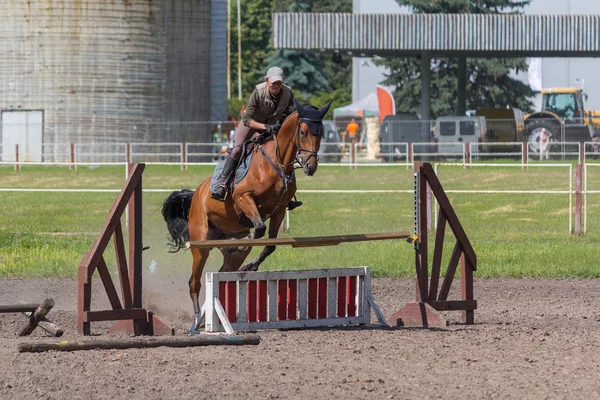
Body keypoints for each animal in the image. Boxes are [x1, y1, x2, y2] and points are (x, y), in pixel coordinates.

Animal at [162, 100, 330, 328]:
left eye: (320, 133)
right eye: (303, 132)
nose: (310, 166)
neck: (276, 161)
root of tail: (196, 193)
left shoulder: (279, 209)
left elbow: (269, 245)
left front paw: (249, 266)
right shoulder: (244, 197)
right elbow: (258, 229)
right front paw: (247, 253)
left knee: (223, 272)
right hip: (200, 245)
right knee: (194, 282)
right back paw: (197, 319)